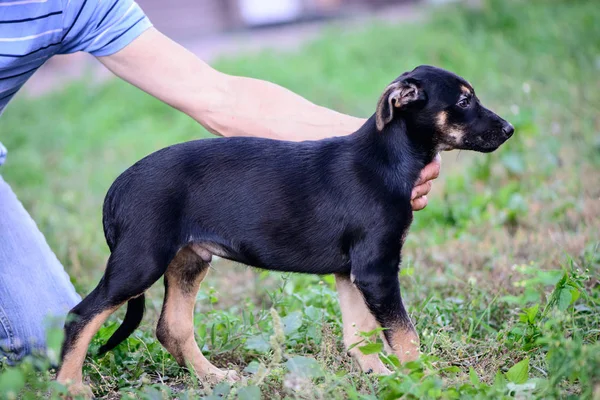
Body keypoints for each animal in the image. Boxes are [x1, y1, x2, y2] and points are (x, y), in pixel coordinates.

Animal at [57, 64, 516, 392]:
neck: (387, 158)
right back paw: (70, 386)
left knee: (171, 328)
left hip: (188, 259)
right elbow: (405, 335)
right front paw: (424, 378)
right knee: (80, 316)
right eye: (464, 100)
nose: (510, 129)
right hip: (141, 260)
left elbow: (360, 334)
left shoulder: (353, 272)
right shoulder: (376, 269)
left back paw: (213, 378)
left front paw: (379, 378)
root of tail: (117, 188)